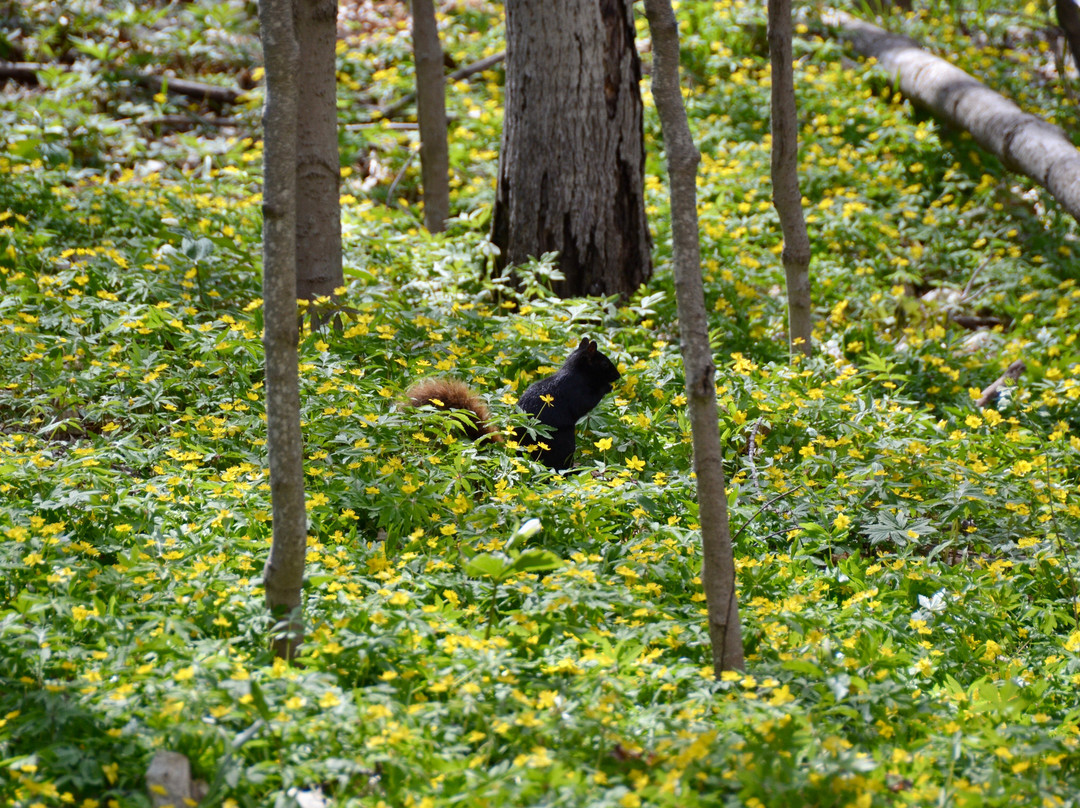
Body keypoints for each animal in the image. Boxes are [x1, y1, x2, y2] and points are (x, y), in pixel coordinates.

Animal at [406, 337, 626, 470]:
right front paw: (607, 387)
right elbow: (587, 402)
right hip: (563, 443)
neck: (576, 372)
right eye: (604, 363)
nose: (618, 376)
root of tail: (517, 451)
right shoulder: (576, 392)